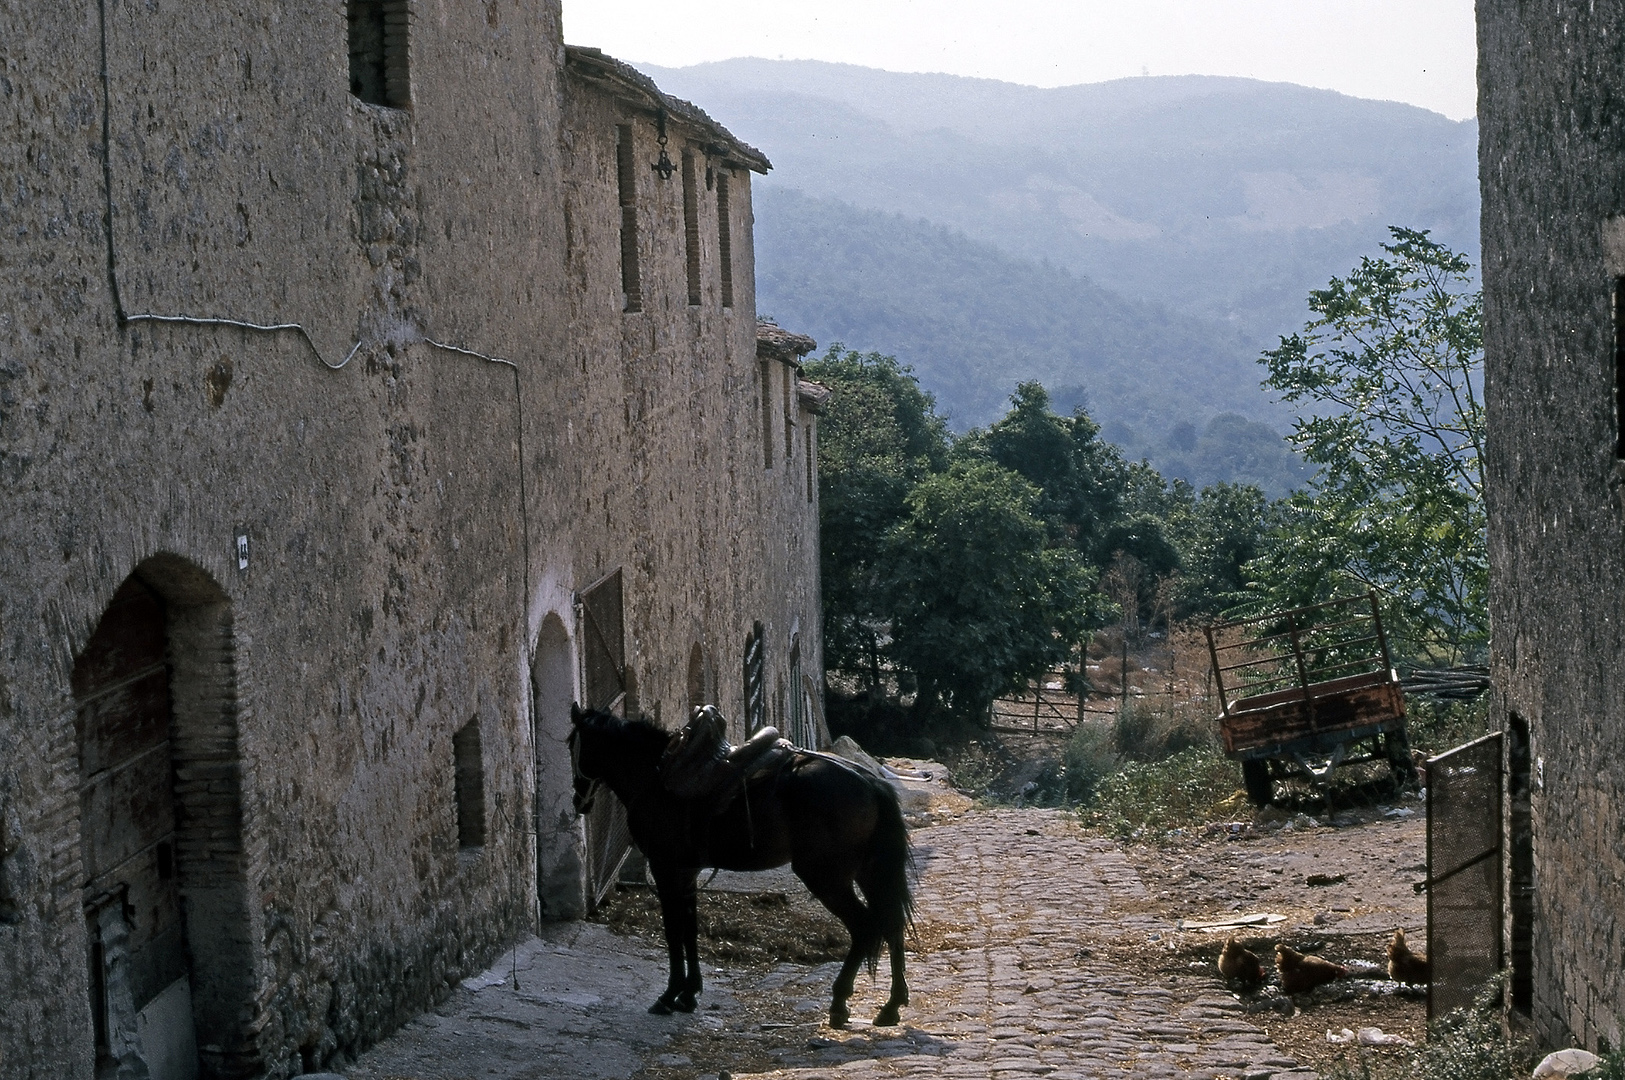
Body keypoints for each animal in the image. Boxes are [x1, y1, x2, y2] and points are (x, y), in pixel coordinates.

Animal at [568, 704, 916, 1026]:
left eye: (573, 745)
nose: (578, 800)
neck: (657, 776)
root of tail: (870, 783)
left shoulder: (665, 869)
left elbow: (673, 932)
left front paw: (670, 995)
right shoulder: (687, 874)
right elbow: (690, 930)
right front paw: (689, 994)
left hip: (827, 878)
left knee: (865, 927)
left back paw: (840, 1002)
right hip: (869, 873)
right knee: (892, 924)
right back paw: (891, 1006)